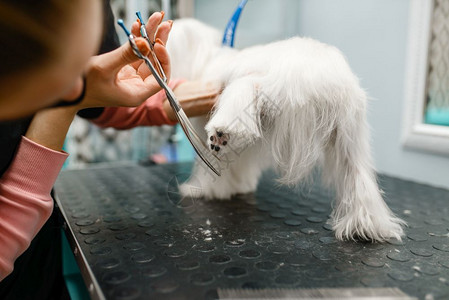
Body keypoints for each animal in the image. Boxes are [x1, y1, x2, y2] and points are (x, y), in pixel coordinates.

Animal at [166, 18, 404, 243]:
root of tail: (324, 73)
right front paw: (238, 186)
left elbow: (210, 167)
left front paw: (203, 189)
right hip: (349, 137)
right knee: (358, 176)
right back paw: (366, 225)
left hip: (266, 86)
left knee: (246, 88)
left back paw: (222, 133)